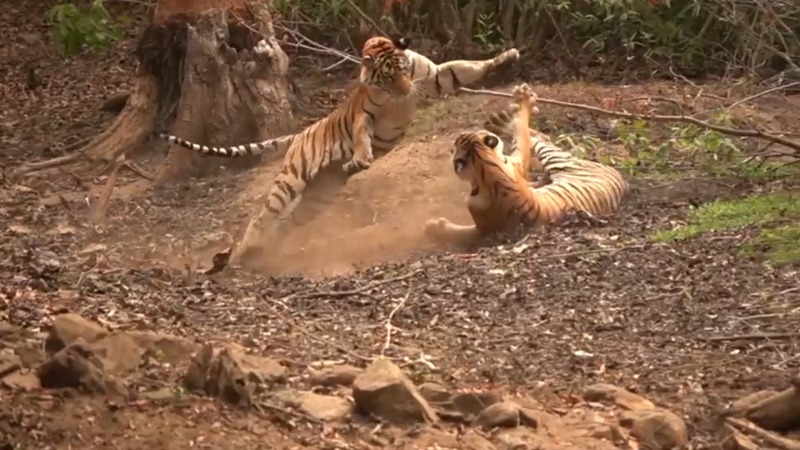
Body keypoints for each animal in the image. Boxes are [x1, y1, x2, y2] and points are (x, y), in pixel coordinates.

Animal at [160, 36, 520, 264]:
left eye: (404, 68)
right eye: (388, 76)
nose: (406, 91)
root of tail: (299, 133)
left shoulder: (434, 75)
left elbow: (464, 68)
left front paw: (507, 58)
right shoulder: (366, 115)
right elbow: (362, 135)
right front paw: (362, 157)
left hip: (318, 198)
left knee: (286, 224)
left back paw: (264, 250)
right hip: (290, 180)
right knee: (263, 216)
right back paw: (241, 251)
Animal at [424, 82, 632, 248]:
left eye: (456, 145)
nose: (452, 148)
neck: (487, 166)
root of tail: (619, 175)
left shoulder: (484, 228)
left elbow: (462, 233)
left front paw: (434, 227)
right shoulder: (517, 162)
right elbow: (521, 134)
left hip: (558, 159)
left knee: (543, 140)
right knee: (539, 137)